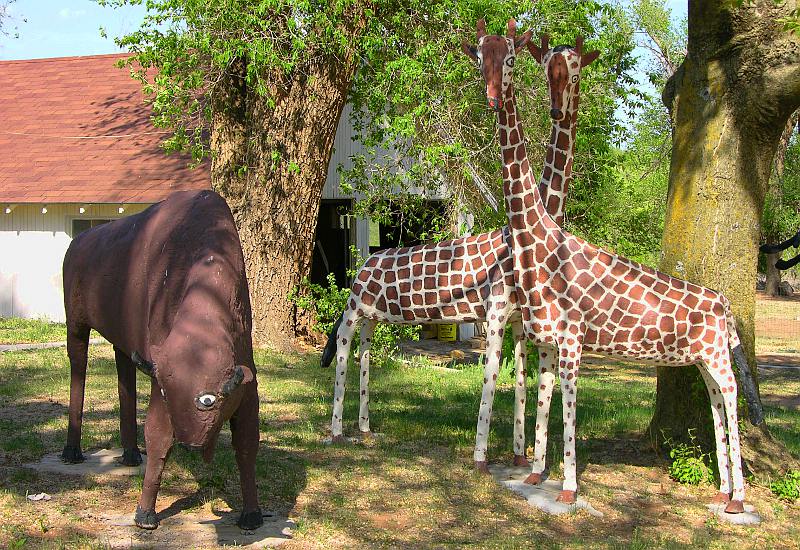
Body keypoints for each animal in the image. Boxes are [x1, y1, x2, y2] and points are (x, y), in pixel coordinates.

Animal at [321, 20, 535, 470]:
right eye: (478, 56)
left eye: (511, 57)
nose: (491, 98)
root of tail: (365, 264)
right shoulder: (495, 315)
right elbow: (492, 377)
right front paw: (481, 458)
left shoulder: (518, 320)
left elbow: (520, 379)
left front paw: (520, 456)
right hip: (354, 308)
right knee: (344, 345)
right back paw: (335, 432)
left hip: (373, 315)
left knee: (366, 349)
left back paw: (365, 429)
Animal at [466, 22, 763, 513]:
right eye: (478, 55)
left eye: (509, 58)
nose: (490, 98)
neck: (539, 241)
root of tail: (723, 303)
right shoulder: (543, 340)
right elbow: (541, 398)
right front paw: (535, 475)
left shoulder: (570, 342)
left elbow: (566, 410)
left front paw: (567, 488)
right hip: (704, 359)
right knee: (717, 399)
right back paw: (723, 492)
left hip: (717, 357)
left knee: (733, 394)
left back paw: (737, 499)